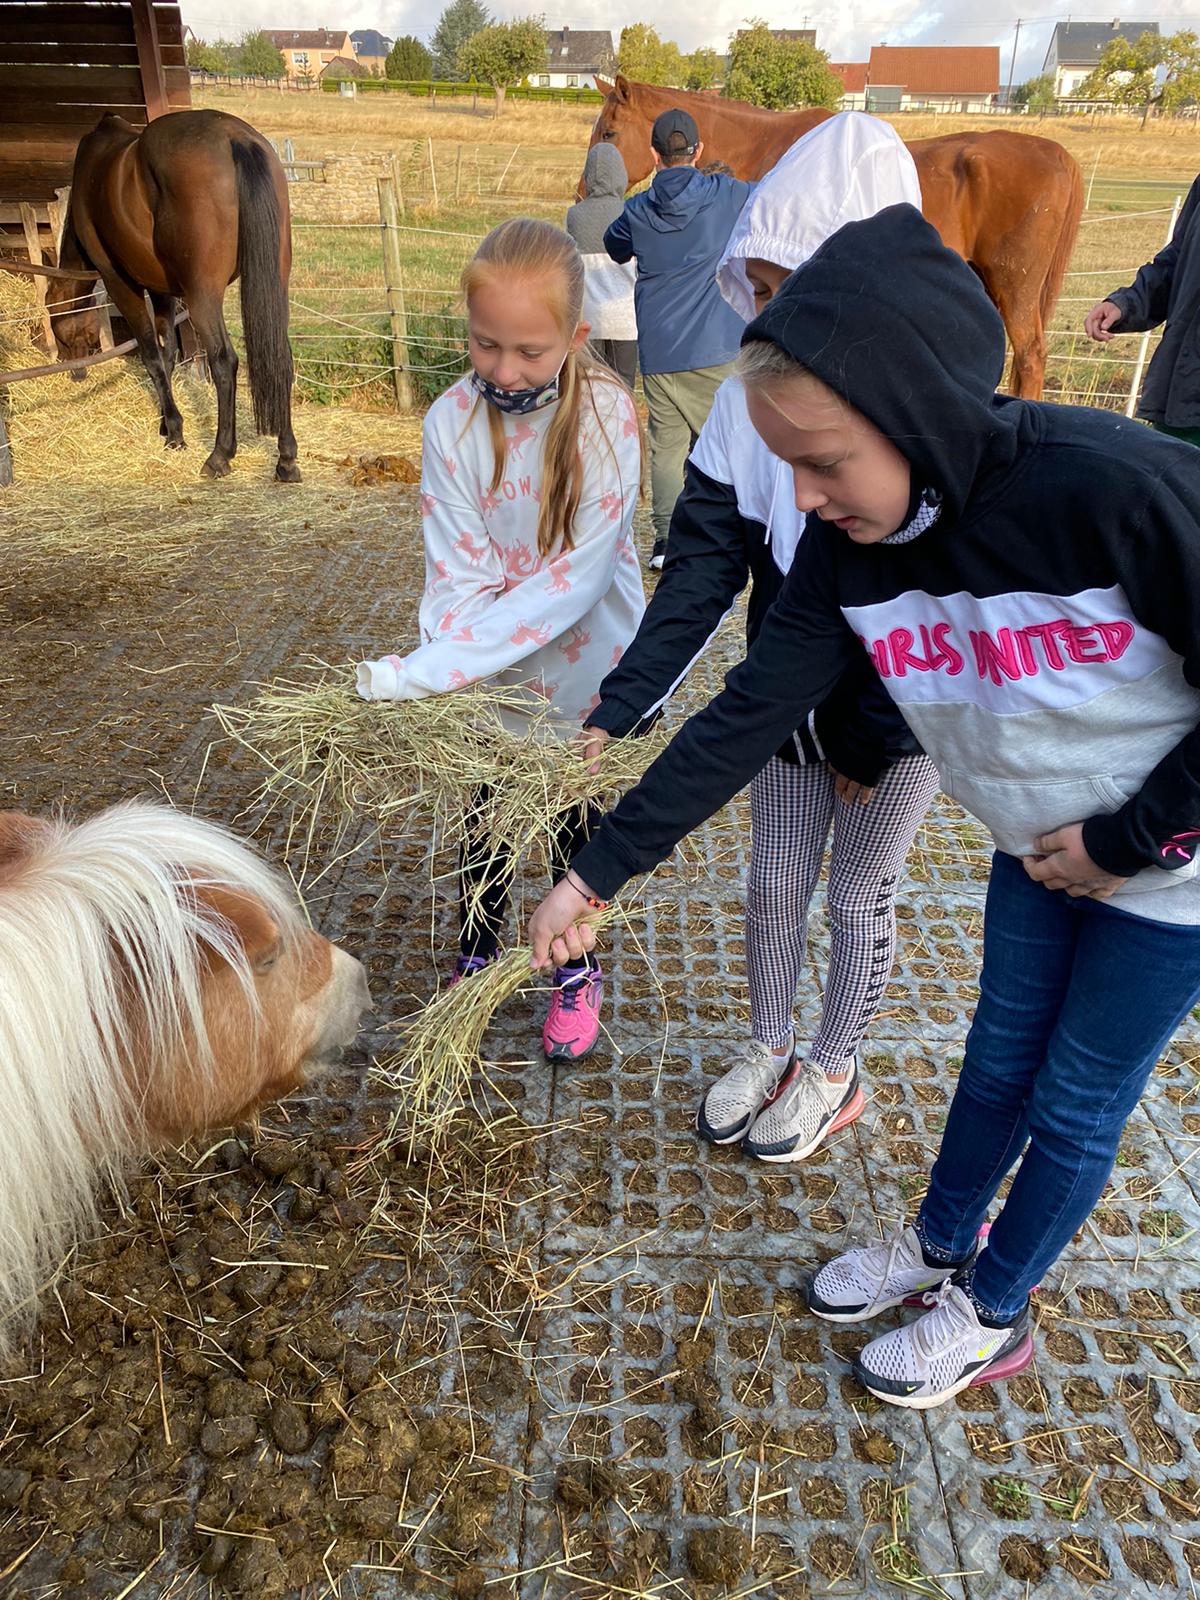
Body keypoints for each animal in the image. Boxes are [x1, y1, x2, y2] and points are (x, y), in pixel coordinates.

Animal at [50, 109, 305, 480]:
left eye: (53, 316)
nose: (73, 369)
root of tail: (236, 137)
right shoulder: (162, 292)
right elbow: (168, 354)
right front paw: (165, 424)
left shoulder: (119, 283)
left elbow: (152, 357)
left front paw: (174, 432)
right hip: (274, 281)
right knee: (279, 355)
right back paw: (286, 459)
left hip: (202, 297)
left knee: (224, 359)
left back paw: (219, 456)